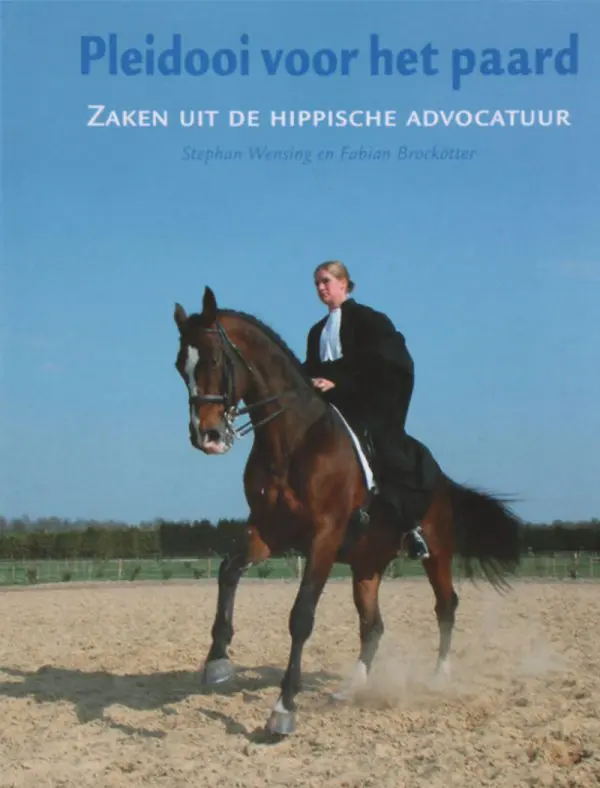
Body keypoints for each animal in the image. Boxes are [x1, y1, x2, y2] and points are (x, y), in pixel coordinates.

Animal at [172, 286, 521, 737]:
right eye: (180, 367)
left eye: (215, 360)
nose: (208, 436)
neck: (294, 441)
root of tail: (442, 481)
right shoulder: (268, 531)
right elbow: (227, 571)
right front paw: (217, 660)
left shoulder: (324, 536)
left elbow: (301, 615)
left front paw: (283, 707)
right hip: (366, 565)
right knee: (373, 625)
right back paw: (350, 688)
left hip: (438, 554)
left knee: (446, 606)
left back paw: (439, 678)